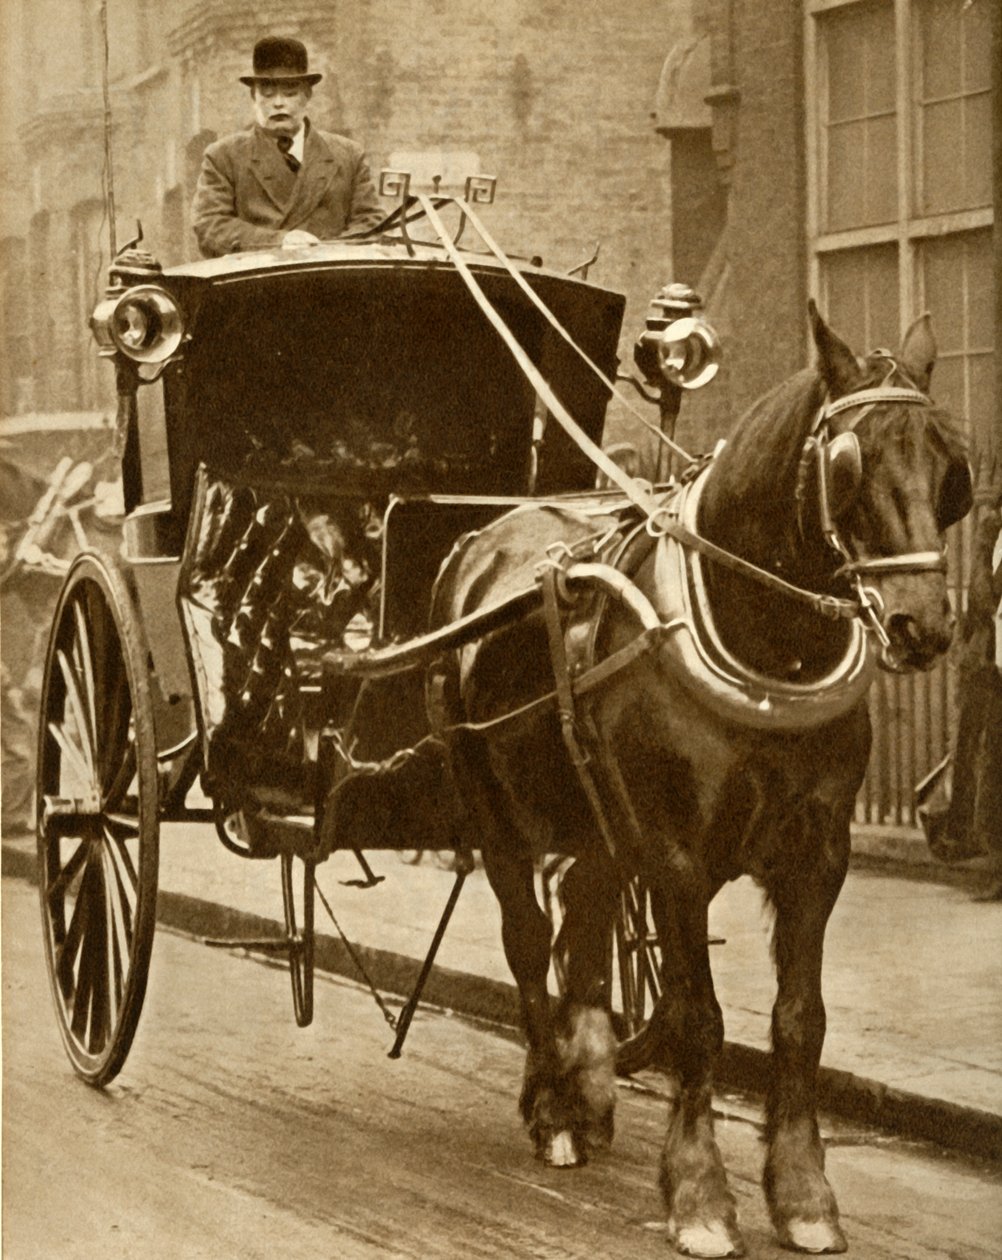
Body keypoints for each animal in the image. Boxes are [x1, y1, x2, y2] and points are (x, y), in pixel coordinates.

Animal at [428, 307, 973, 1260]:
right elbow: (698, 1018)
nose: (924, 626)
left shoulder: (817, 855)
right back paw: (552, 1107)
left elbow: (799, 1019)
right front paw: (700, 1196)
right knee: (530, 943)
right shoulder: (677, 856)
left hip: (602, 819)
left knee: (584, 920)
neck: (769, 644)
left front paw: (804, 1195)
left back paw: (588, 1084)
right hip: (497, 815)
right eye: (849, 462)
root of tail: (479, 539)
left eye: (950, 465)